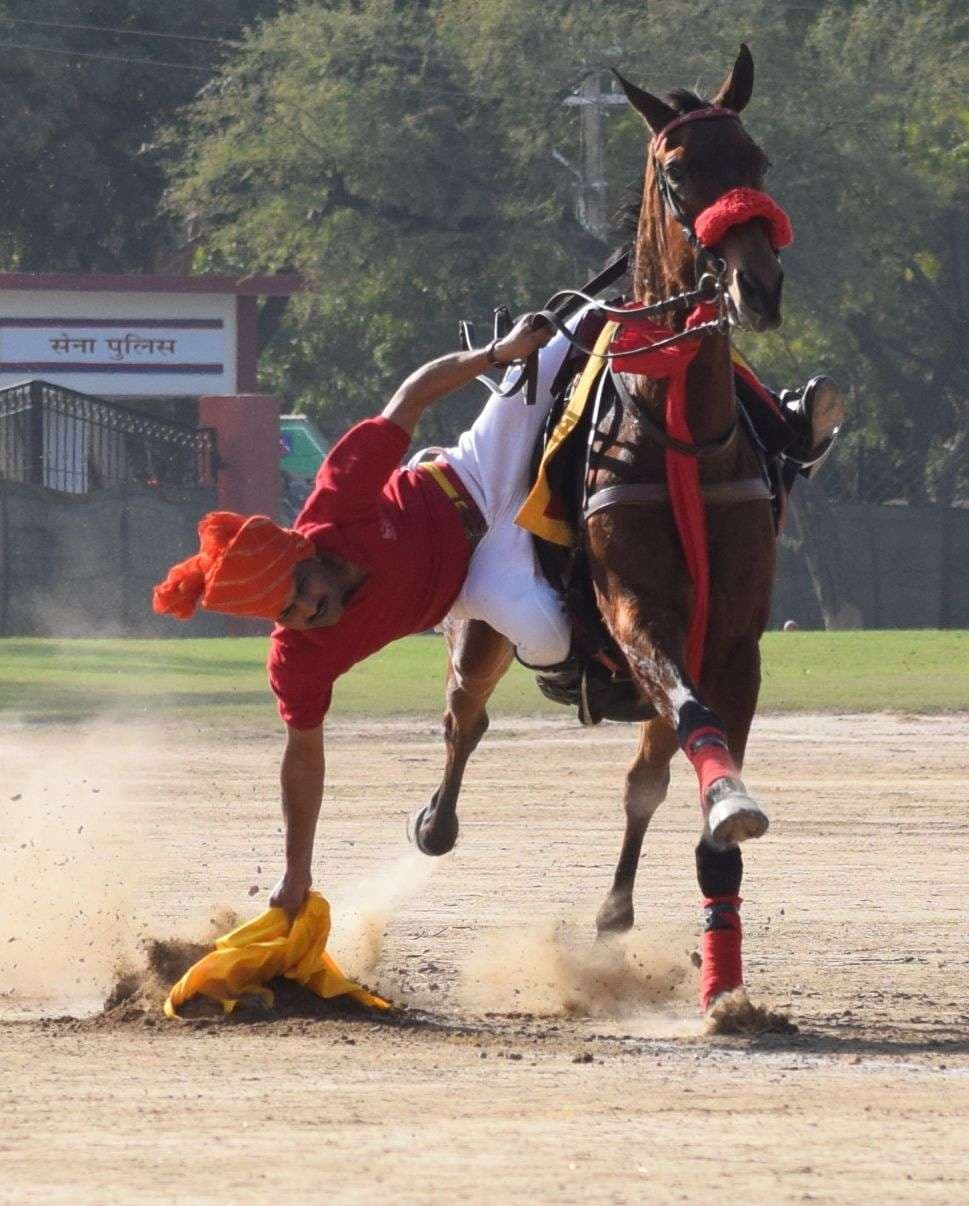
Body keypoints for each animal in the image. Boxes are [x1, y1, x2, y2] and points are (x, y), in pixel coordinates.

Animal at [412, 44, 786, 1008]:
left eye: (757, 161)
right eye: (678, 171)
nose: (757, 285)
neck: (678, 430)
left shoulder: (731, 638)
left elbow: (693, 757)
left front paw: (722, 978)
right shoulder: (633, 610)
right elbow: (690, 717)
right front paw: (733, 807)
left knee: (643, 776)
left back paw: (617, 912)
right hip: (486, 621)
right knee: (463, 718)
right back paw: (435, 818)